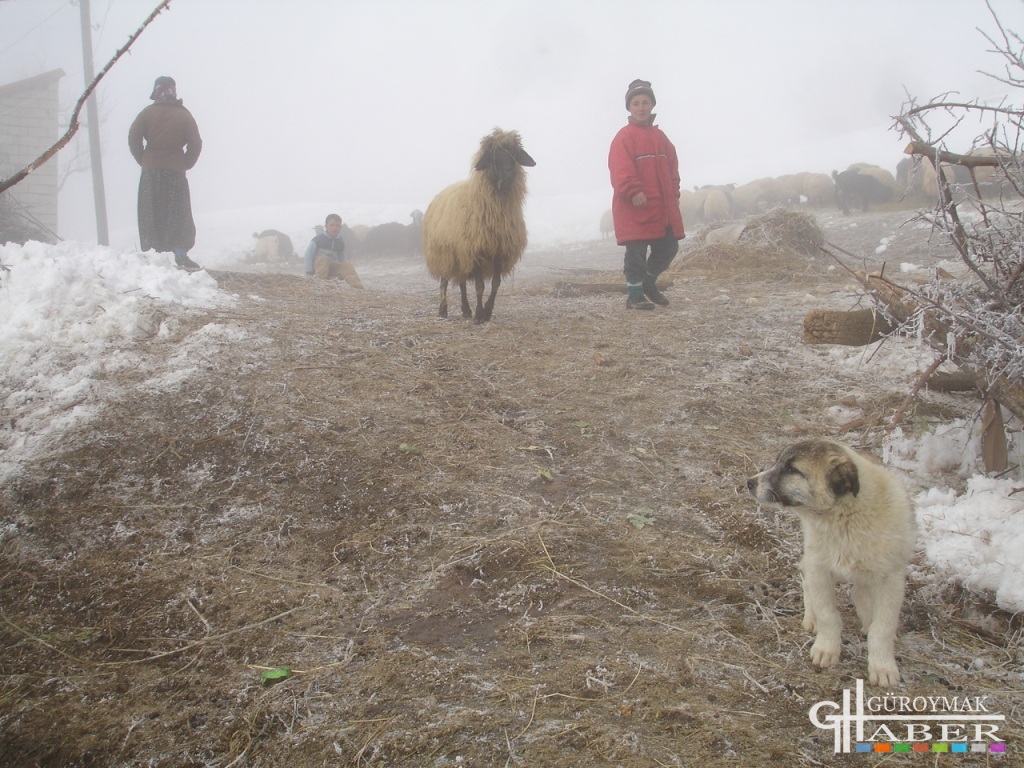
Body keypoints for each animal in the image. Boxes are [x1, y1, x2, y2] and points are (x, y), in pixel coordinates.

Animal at [423, 128, 536, 323]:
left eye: (514, 154)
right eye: (492, 156)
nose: (508, 176)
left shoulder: (500, 251)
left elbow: (496, 284)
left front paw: (487, 311)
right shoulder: (475, 251)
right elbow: (480, 286)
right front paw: (478, 315)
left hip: (460, 255)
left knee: (461, 283)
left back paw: (465, 310)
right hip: (445, 253)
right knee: (444, 281)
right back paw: (443, 310)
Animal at [749, 442, 917, 688]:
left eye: (792, 470)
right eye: (778, 462)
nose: (749, 482)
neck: (844, 517)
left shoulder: (891, 579)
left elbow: (882, 627)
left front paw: (883, 666)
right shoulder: (819, 570)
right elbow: (828, 614)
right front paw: (827, 648)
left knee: (860, 594)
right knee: (809, 586)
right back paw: (812, 618)